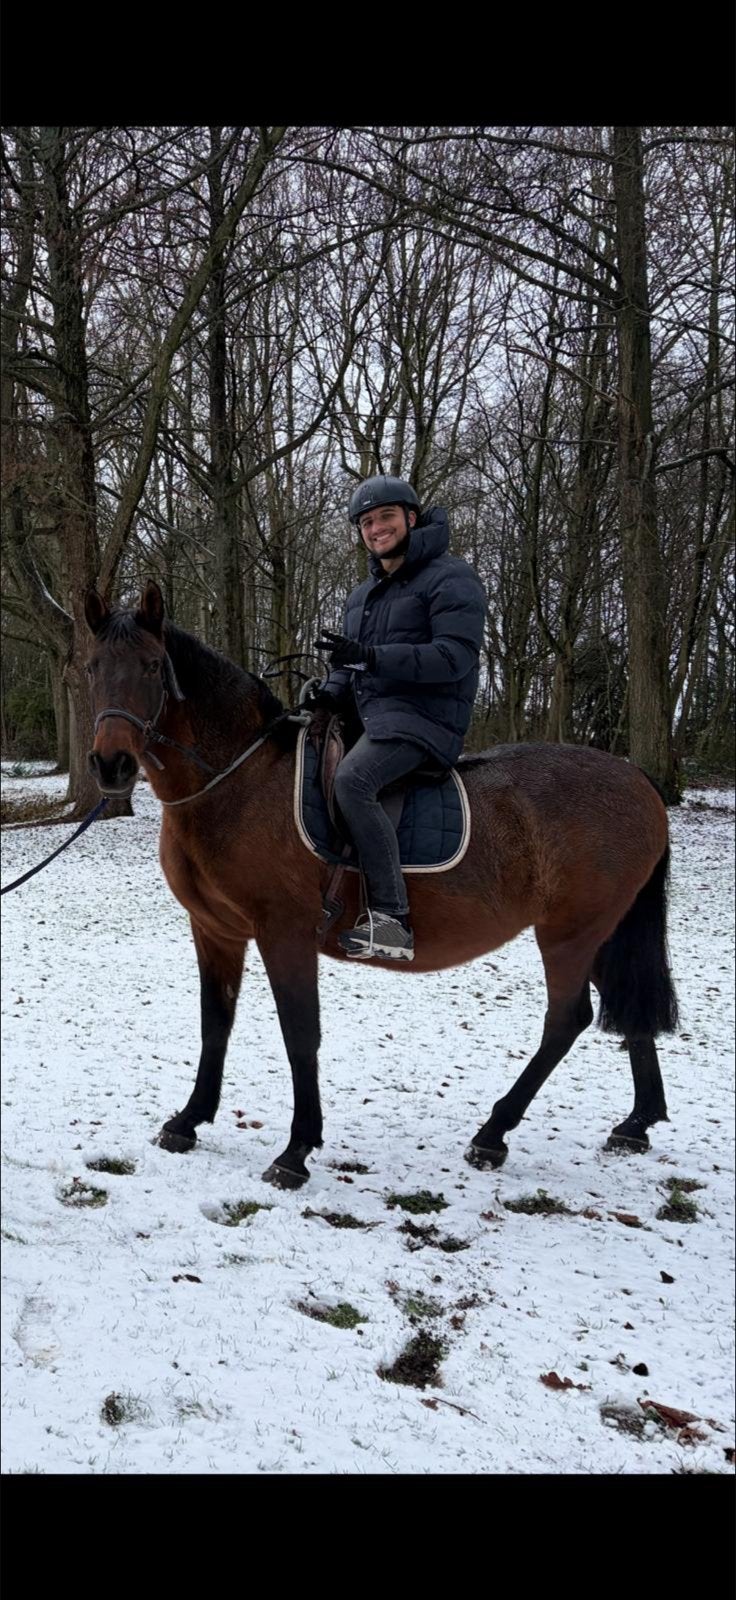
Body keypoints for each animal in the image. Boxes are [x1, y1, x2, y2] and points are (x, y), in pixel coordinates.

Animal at [84, 580, 679, 1190]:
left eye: (153, 666)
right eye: (91, 666)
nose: (111, 765)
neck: (238, 781)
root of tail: (636, 778)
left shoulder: (284, 933)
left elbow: (301, 1035)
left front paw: (296, 1150)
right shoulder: (215, 931)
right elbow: (215, 1024)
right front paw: (189, 1120)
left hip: (569, 933)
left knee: (566, 1021)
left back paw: (493, 1134)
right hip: (601, 932)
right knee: (626, 1005)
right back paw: (635, 1124)